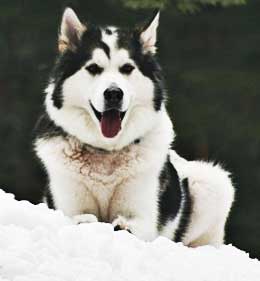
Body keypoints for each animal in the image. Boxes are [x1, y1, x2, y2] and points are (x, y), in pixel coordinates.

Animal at [33, 7, 235, 245]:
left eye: (127, 68)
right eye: (93, 68)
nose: (113, 93)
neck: (106, 153)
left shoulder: (143, 217)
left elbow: (131, 226)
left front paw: (121, 227)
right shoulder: (67, 206)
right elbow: (80, 218)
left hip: (212, 183)